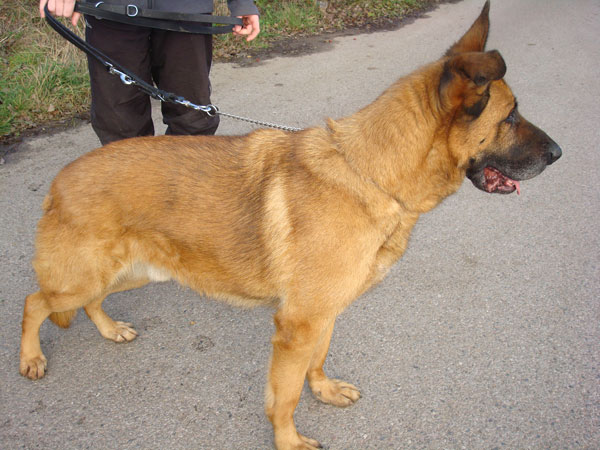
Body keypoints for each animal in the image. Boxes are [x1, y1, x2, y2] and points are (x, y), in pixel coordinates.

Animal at [19, 1, 564, 448]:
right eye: (510, 116)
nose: (560, 154)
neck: (372, 172)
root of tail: (60, 181)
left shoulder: (321, 317)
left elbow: (315, 365)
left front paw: (323, 389)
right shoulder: (296, 326)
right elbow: (284, 397)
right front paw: (288, 440)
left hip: (132, 272)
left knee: (86, 302)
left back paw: (109, 330)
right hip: (85, 275)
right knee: (36, 302)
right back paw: (31, 357)